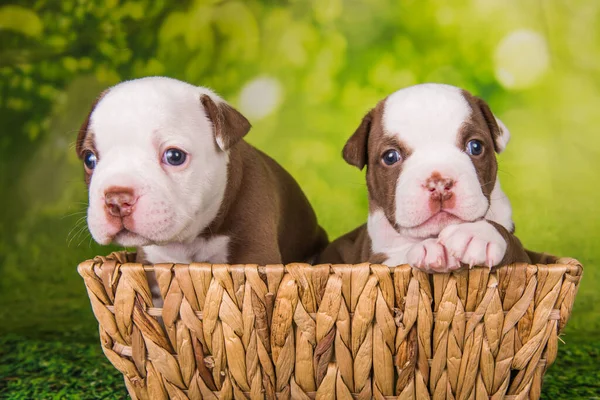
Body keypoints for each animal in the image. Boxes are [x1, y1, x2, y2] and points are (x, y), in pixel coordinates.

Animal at [75, 77, 328, 296]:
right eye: (89, 159)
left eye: (174, 156)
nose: (116, 199)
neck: (191, 240)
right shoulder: (151, 267)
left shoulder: (256, 256)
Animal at [318, 84, 528, 272]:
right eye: (390, 157)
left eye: (475, 146)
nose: (439, 183)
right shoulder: (378, 258)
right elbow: (399, 257)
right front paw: (429, 248)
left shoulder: (522, 251)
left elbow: (513, 242)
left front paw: (479, 234)